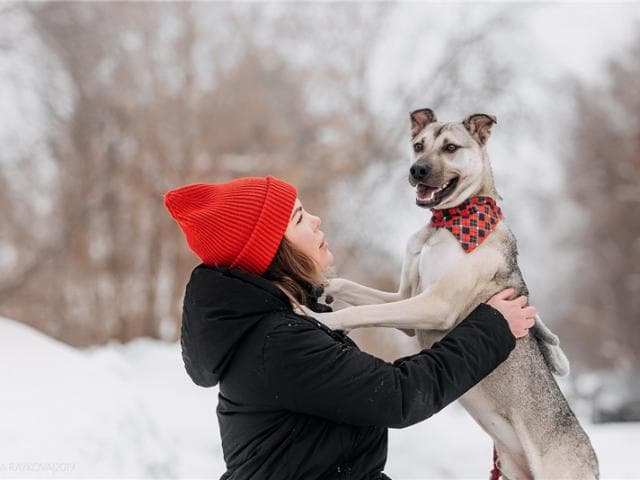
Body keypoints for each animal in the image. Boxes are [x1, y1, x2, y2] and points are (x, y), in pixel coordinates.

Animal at [308, 109, 596, 480]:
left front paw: (321, 318)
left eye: (450, 148)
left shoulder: (435, 304)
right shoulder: (404, 298)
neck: (446, 222)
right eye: (418, 145)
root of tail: (592, 459)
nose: (417, 170)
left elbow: (362, 312)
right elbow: (352, 289)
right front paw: (324, 287)